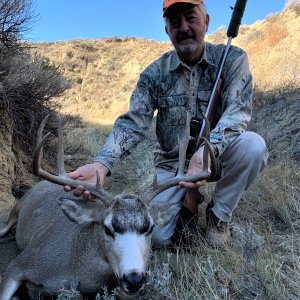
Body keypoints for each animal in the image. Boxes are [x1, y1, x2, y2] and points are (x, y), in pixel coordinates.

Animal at [0, 113, 216, 298]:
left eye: (150, 228)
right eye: (107, 228)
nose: (134, 279)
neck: (71, 268)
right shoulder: (18, 264)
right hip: (18, 208)